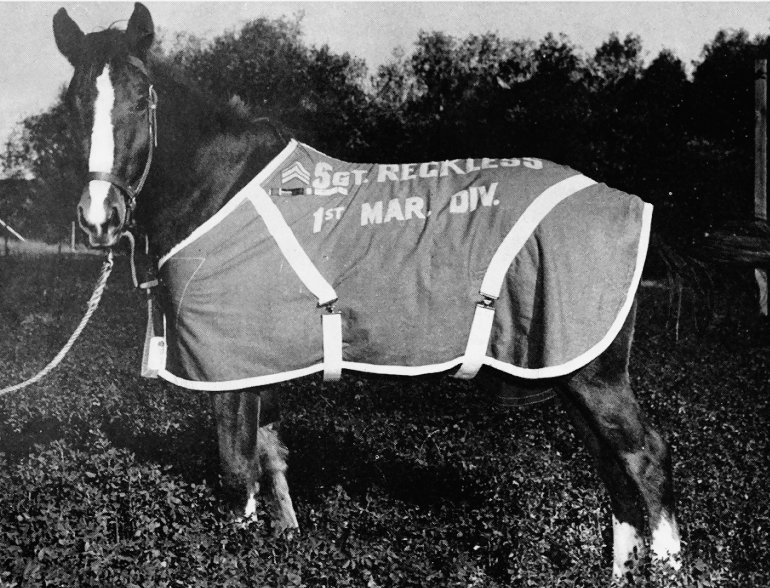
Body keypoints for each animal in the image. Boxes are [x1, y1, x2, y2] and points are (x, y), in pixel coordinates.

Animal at [52, 3, 680, 584]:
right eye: (74, 102)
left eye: (141, 99)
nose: (99, 218)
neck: (220, 187)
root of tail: (629, 202)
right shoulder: (258, 367)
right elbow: (272, 458)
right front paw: (288, 546)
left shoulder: (229, 371)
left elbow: (237, 472)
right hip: (568, 369)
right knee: (613, 467)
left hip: (594, 374)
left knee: (644, 457)